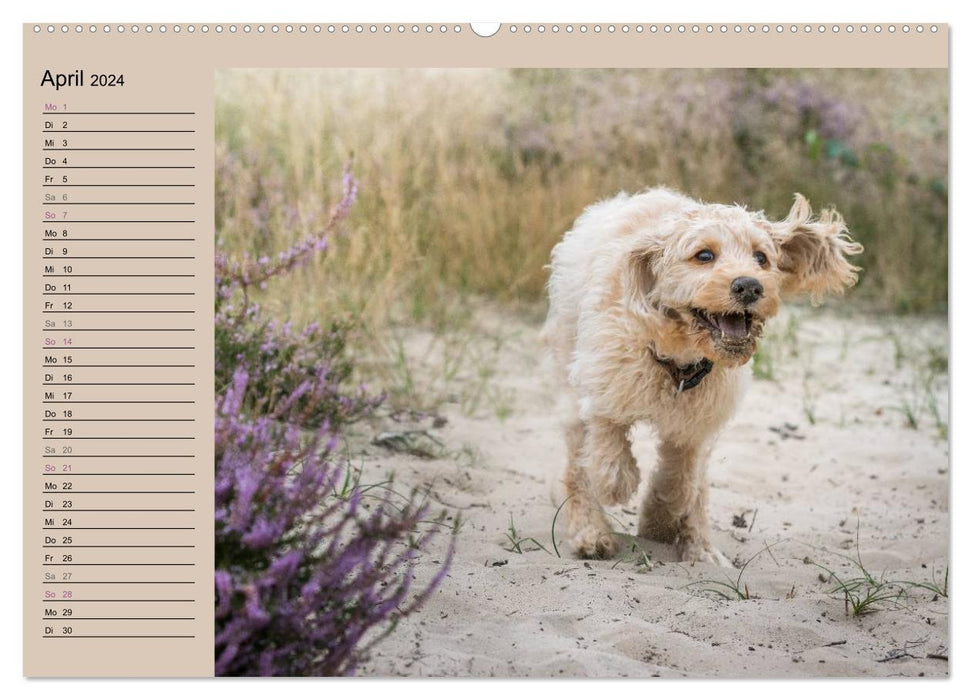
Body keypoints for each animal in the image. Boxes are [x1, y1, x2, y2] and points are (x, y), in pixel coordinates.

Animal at [544, 189, 860, 568]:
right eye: (704, 255)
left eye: (761, 257)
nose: (749, 286)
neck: (679, 361)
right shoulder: (603, 381)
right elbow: (607, 442)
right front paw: (616, 485)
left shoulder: (697, 423)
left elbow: (681, 478)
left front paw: (661, 521)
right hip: (567, 370)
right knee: (577, 466)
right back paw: (590, 533)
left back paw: (701, 549)